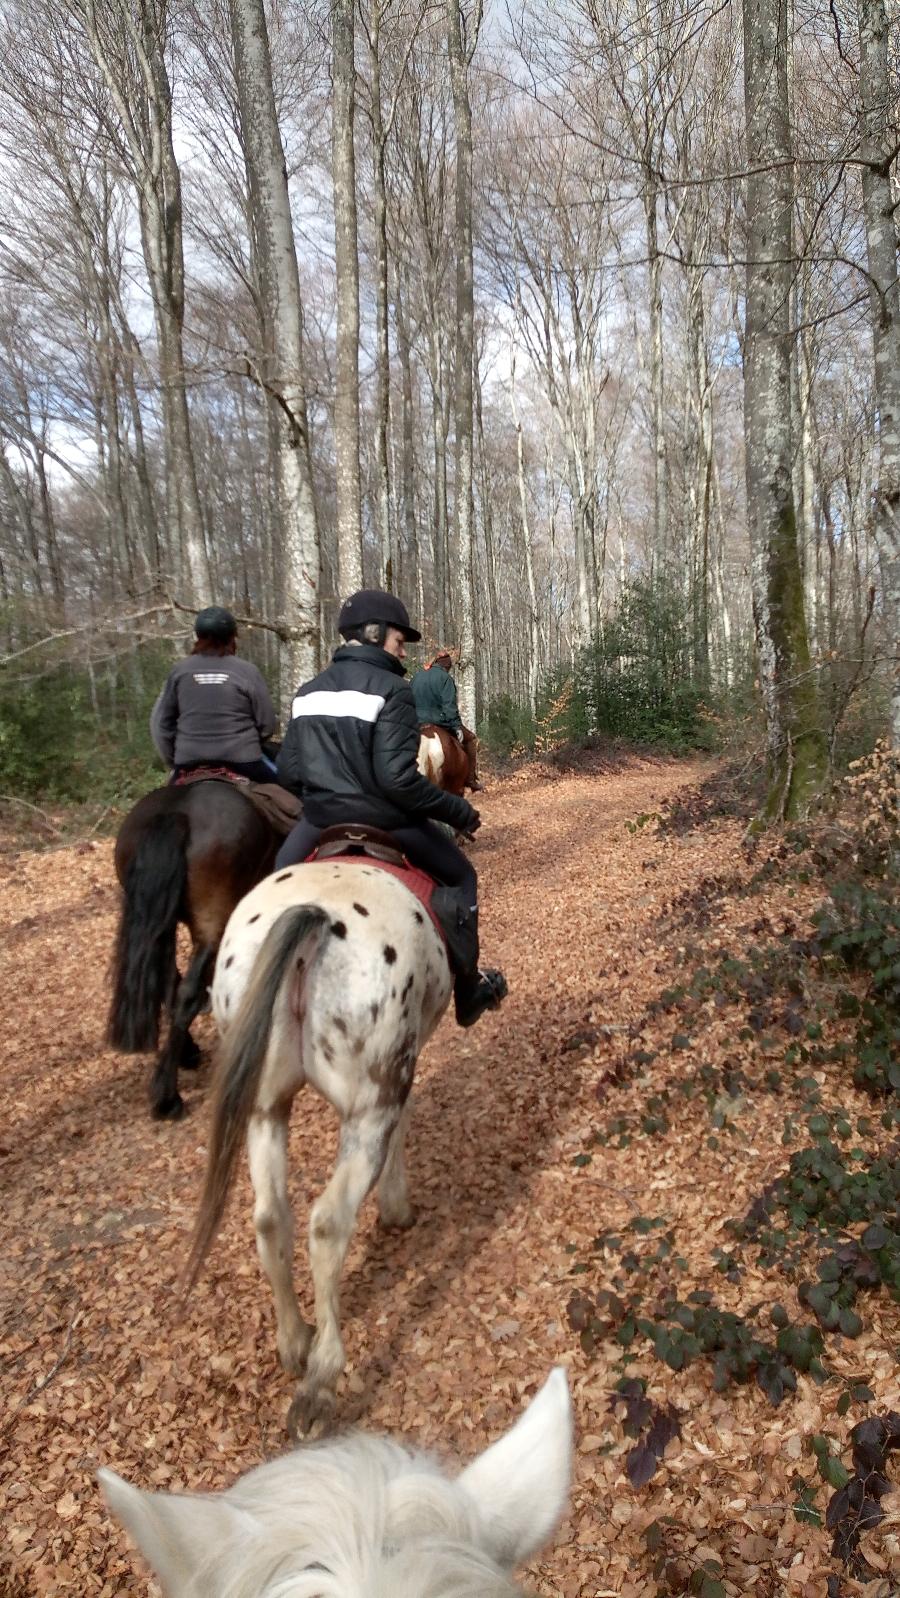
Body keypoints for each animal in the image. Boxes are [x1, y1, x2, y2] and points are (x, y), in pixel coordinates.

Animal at [107, 779, 278, 1118]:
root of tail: (178, 812)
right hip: (214, 920)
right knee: (186, 992)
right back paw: (168, 1096)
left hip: (161, 920)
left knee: (169, 983)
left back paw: (184, 1055)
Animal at [184, 862, 450, 1438]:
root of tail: (312, 920)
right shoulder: (404, 1066)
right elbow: (404, 1125)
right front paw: (397, 1207)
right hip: (369, 1103)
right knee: (327, 1223)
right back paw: (320, 1382)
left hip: (264, 1108)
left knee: (269, 1218)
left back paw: (293, 1341)